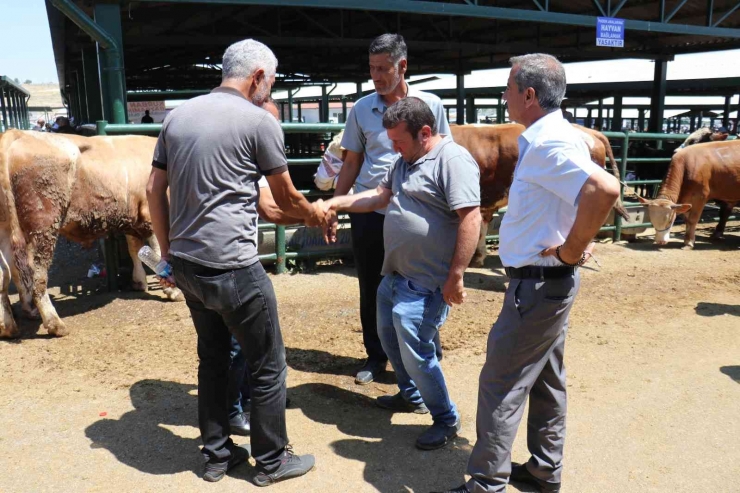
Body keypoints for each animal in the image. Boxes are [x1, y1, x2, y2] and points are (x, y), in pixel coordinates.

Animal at [0, 130, 182, 338]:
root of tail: (17, 133)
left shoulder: (133, 216)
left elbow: (134, 249)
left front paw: (138, 281)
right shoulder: (150, 213)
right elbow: (159, 252)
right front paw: (172, 290)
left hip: (6, 228)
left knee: (6, 273)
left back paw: (10, 324)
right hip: (43, 224)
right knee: (34, 272)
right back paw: (54, 323)